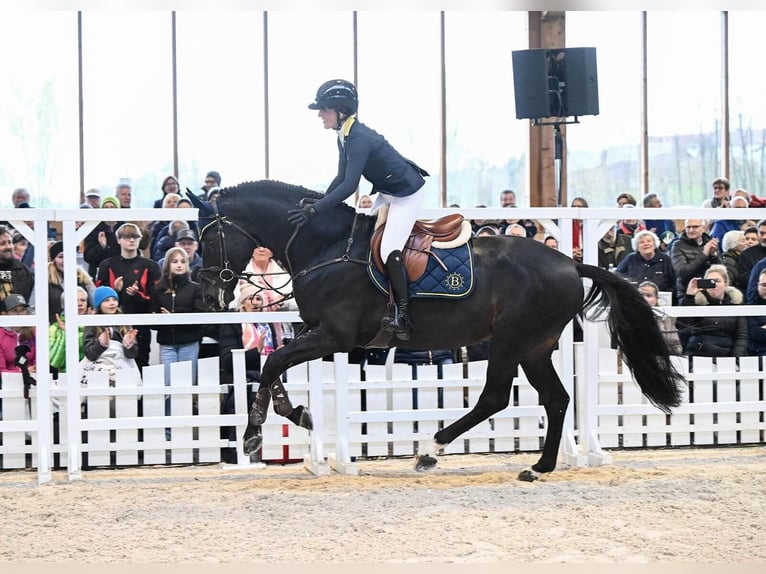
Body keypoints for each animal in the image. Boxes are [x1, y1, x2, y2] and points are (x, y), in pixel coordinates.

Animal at [195, 180, 688, 482]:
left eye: (207, 238)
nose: (209, 296)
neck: (325, 245)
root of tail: (570, 264)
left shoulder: (334, 335)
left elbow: (275, 361)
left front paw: (257, 432)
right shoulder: (315, 331)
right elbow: (274, 365)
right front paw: (293, 412)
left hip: (511, 341)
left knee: (495, 396)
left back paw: (431, 449)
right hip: (535, 346)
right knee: (556, 398)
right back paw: (540, 466)